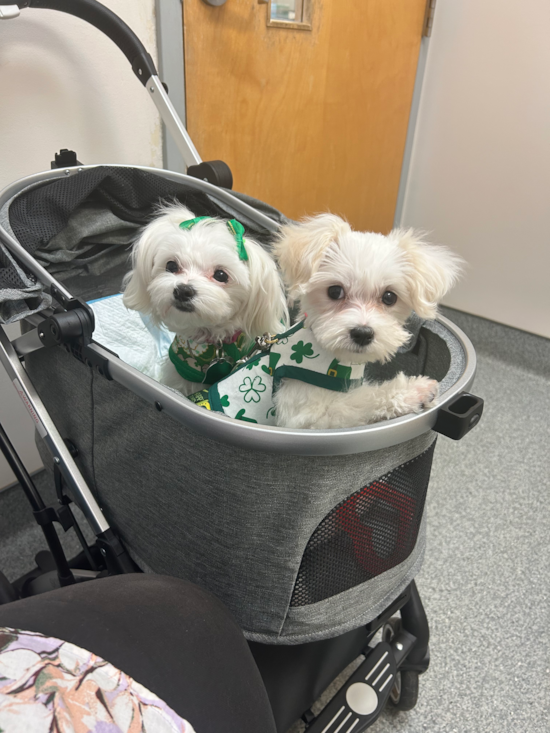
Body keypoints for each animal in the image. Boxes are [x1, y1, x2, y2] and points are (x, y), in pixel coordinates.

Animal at [266, 213, 462, 428]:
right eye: (335, 291)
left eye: (389, 297)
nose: (362, 333)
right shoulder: (307, 416)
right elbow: (360, 400)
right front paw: (414, 392)